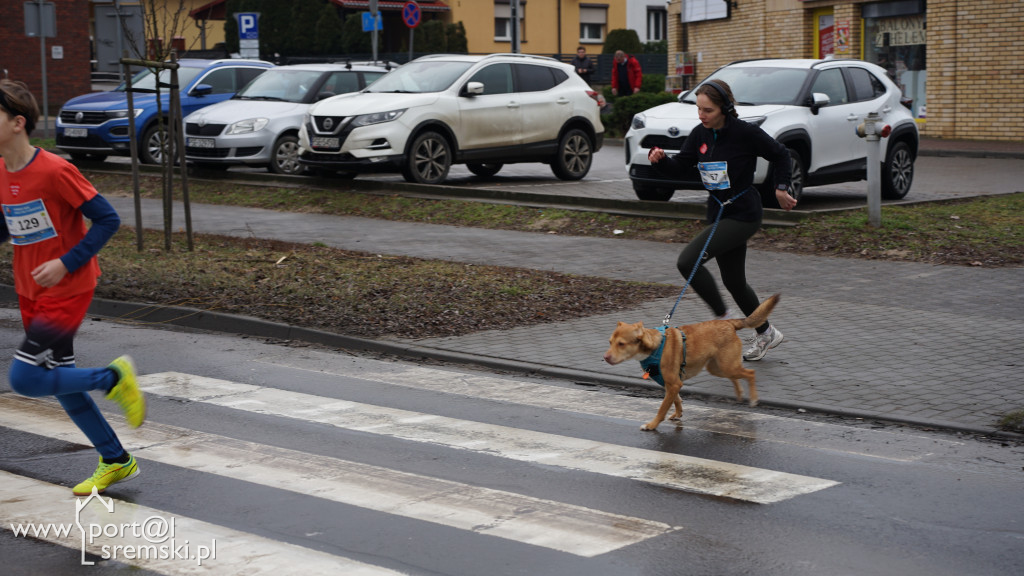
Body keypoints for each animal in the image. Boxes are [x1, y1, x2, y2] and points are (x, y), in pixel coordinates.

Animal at [602, 293, 778, 428]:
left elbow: (662, 408)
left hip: (726, 366)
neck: (654, 347)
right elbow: (677, 400)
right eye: (610, 342)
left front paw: (652, 425)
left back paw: (753, 398)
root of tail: (728, 323)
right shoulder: (671, 385)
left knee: (750, 373)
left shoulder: (673, 384)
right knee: (736, 376)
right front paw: (678, 414)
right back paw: (740, 392)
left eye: (621, 344)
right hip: (718, 367)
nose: (605, 357)